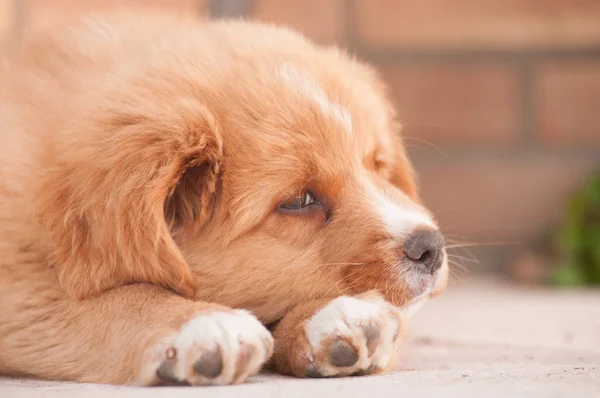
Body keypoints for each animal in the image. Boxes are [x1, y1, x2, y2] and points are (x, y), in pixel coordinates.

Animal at [0, 13, 446, 386]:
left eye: (378, 166)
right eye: (300, 200)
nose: (430, 247)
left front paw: (339, 316)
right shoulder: (18, 281)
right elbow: (104, 300)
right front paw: (203, 325)